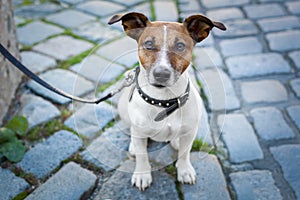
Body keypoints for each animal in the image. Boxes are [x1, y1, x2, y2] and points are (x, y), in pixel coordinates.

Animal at [108, 11, 225, 190]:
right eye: (149, 44)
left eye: (180, 46)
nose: (161, 74)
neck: (164, 101)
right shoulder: (140, 132)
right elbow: (142, 156)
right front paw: (142, 174)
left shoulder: (190, 132)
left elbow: (184, 154)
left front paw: (184, 170)